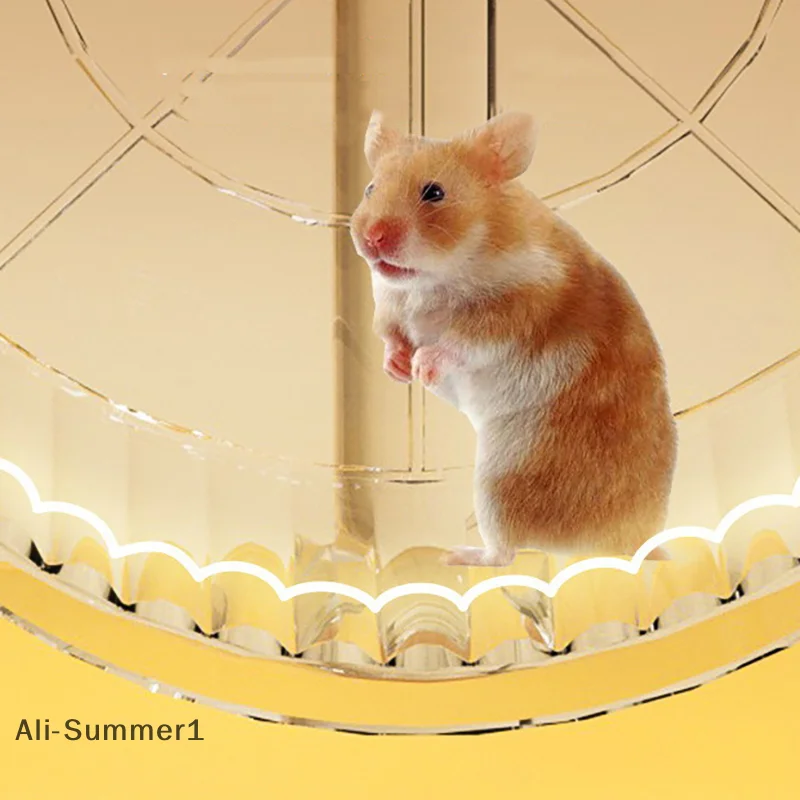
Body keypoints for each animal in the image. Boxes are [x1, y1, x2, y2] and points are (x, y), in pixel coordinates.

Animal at [349, 109, 677, 567]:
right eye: (369, 188)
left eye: (434, 192)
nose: (372, 239)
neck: (435, 275)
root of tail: (636, 541)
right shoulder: (389, 306)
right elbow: (391, 337)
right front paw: (399, 369)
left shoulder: (513, 310)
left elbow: (460, 342)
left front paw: (422, 368)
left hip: (499, 482)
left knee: (505, 554)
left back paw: (455, 555)